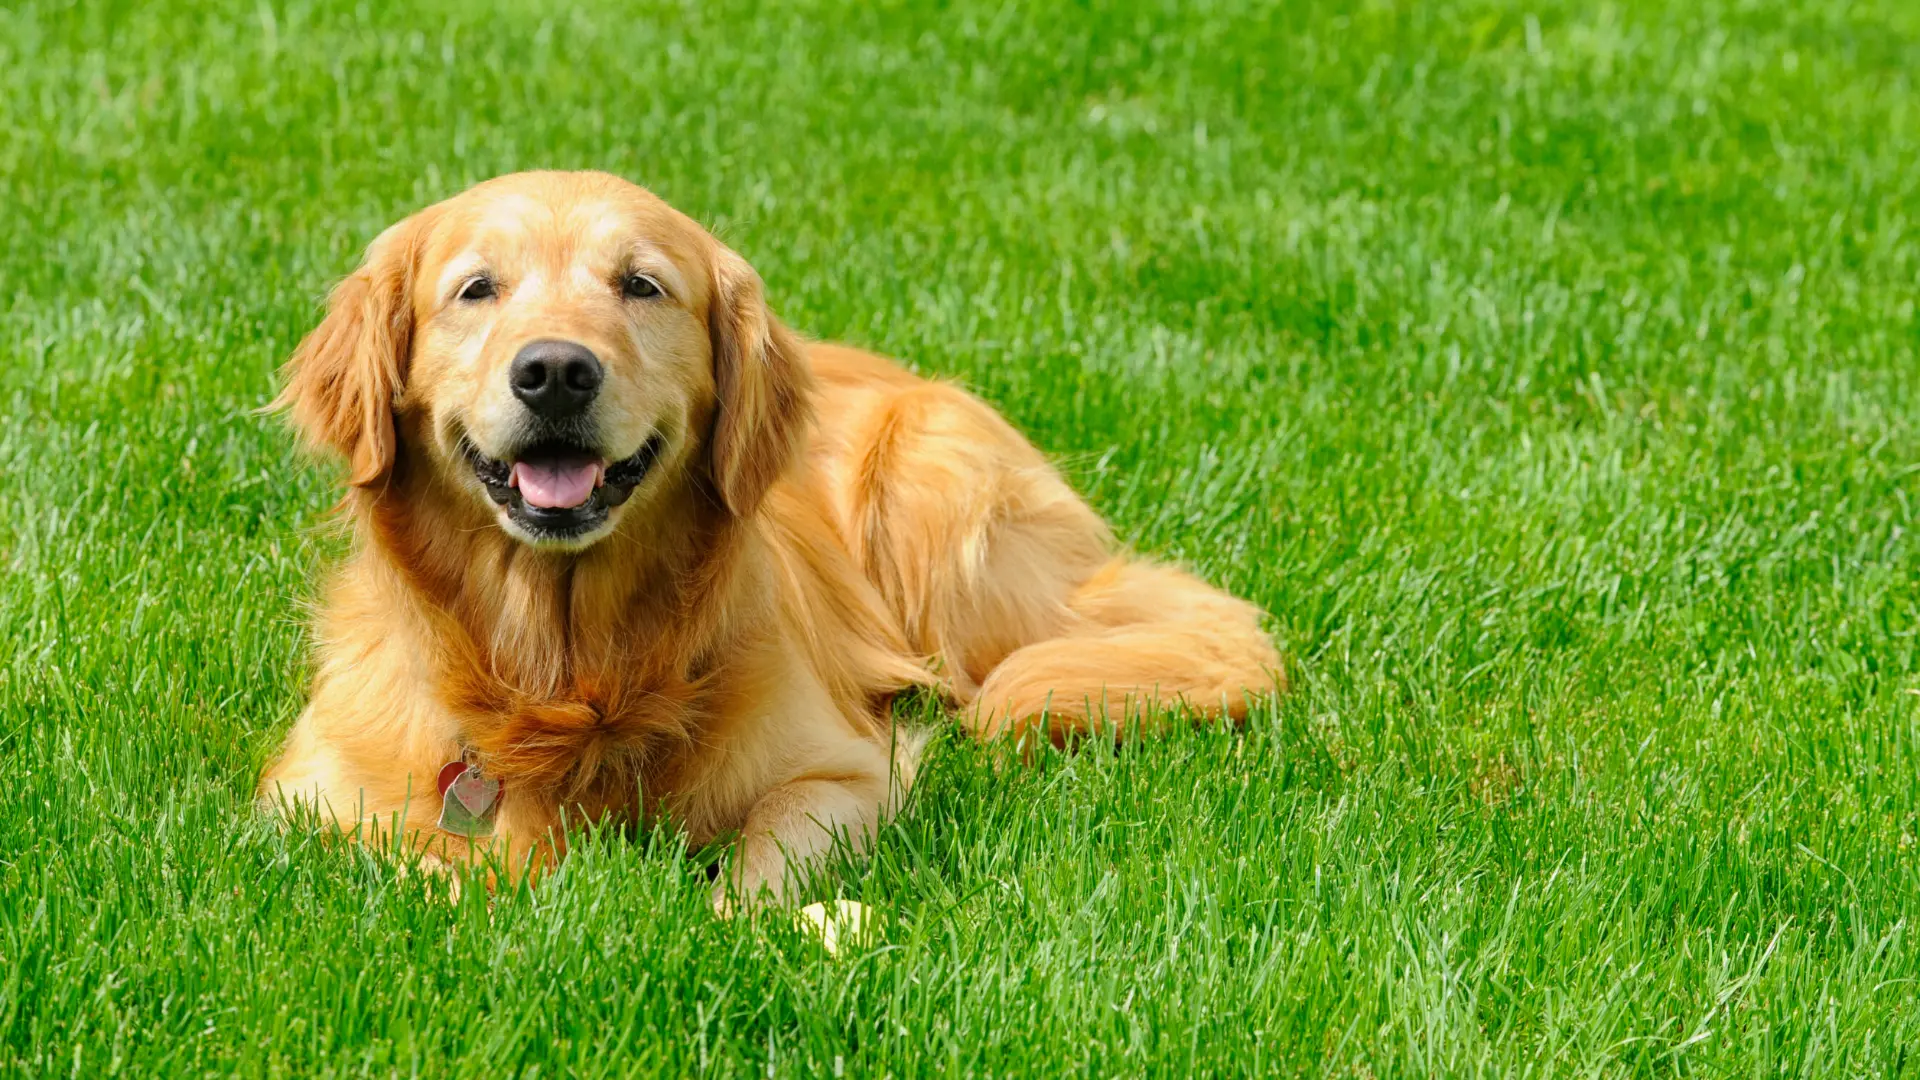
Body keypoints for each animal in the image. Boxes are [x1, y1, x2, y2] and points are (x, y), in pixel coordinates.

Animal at [255, 170, 1274, 899]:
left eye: (641, 285)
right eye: (476, 289)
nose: (554, 372)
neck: (567, 677)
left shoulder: (844, 773)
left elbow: (764, 859)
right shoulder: (300, 809)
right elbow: (418, 868)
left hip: (939, 511)